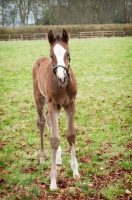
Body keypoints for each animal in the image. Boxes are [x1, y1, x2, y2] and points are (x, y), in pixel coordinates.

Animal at [32, 28, 79, 190]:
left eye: (68, 54)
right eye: (52, 55)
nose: (62, 78)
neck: (63, 87)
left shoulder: (70, 104)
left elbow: (70, 135)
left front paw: (75, 171)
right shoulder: (53, 104)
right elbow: (53, 139)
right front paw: (53, 181)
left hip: (56, 107)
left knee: (47, 118)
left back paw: (58, 158)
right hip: (40, 100)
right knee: (41, 121)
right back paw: (42, 157)